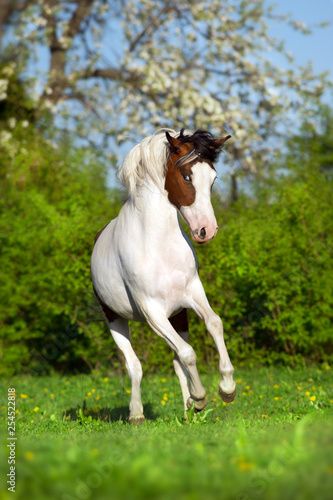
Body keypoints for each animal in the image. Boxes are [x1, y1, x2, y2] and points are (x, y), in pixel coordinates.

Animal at [91, 128, 236, 422]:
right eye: (186, 176)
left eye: (213, 178)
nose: (206, 230)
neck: (159, 246)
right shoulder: (152, 312)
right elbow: (189, 354)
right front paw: (201, 397)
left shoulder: (193, 295)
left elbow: (214, 324)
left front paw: (227, 388)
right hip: (115, 319)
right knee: (134, 365)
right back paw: (137, 414)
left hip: (178, 316)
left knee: (176, 361)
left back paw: (187, 411)